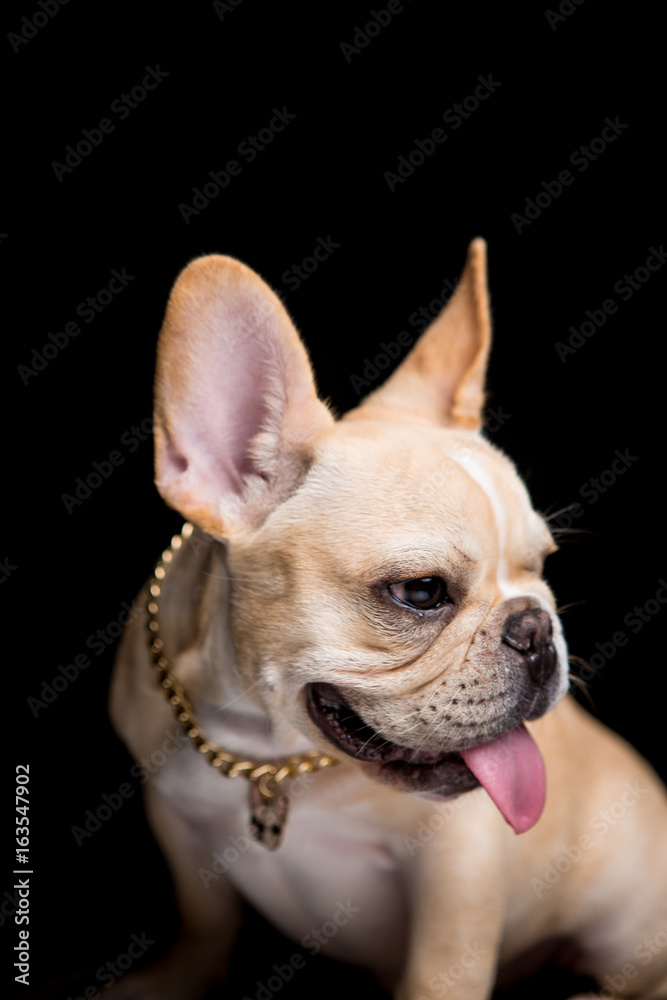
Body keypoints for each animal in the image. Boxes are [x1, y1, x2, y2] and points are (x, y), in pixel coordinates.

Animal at [109, 242, 667, 1000]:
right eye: (421, 592)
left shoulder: (457, 872)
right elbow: (205, 923)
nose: (535, 629)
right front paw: (174, 978)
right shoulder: (174, 816)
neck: (267, 754)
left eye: (541, 566)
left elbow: (439, 971)